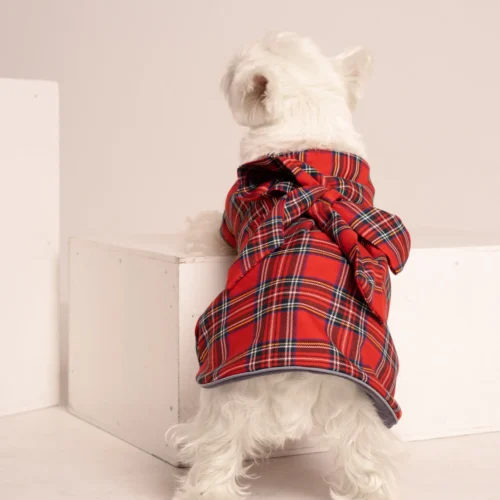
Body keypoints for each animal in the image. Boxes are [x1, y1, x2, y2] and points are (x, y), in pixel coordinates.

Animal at [168, 32, 410, 500]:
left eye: (234, 68)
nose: (228, 62)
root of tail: (295, 377)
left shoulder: (227, 219)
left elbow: (205, 227)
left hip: (224, 397)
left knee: (215, 454)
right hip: (363, 413)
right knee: (370, 464)